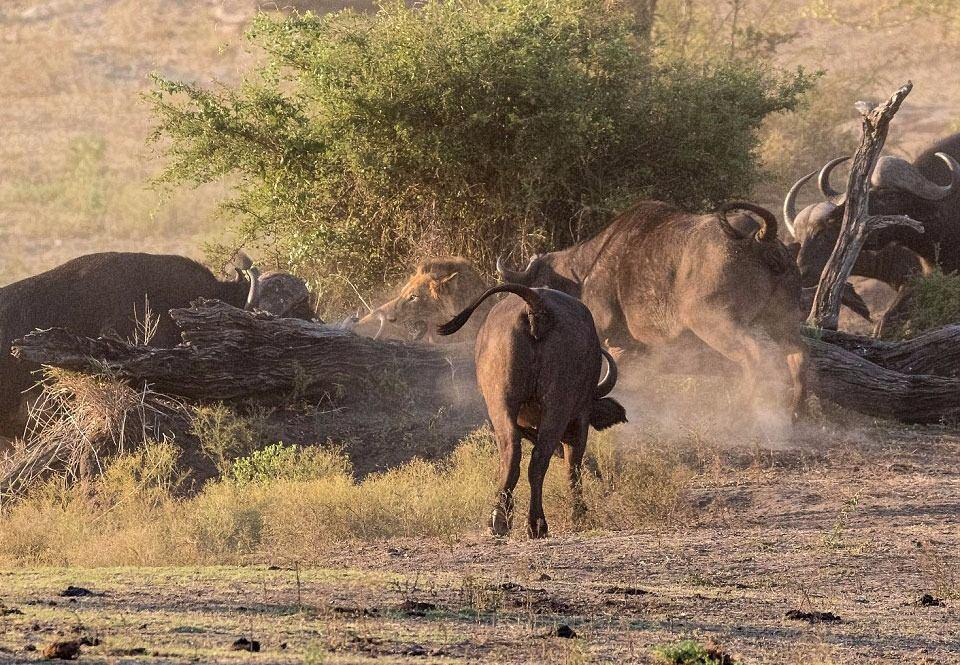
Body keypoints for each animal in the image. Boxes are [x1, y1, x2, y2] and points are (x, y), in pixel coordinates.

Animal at [436, 282, 632, 536]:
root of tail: (536, 304)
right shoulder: (580, 418)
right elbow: (574, 467)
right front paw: (579, 514)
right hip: (557, 404)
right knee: (539, 459)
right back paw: (536, 522)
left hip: (501, 402)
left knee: (512, 454)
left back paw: (501, 520)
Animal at [498, 198, 808, 420]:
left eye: (537, 288)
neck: (587, 270)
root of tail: (760, 238)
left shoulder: (611, 340)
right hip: (784, 322)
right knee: (798, 355)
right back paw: (795, 411)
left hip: (716, 324)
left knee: (754, 356)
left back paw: (742, 410)